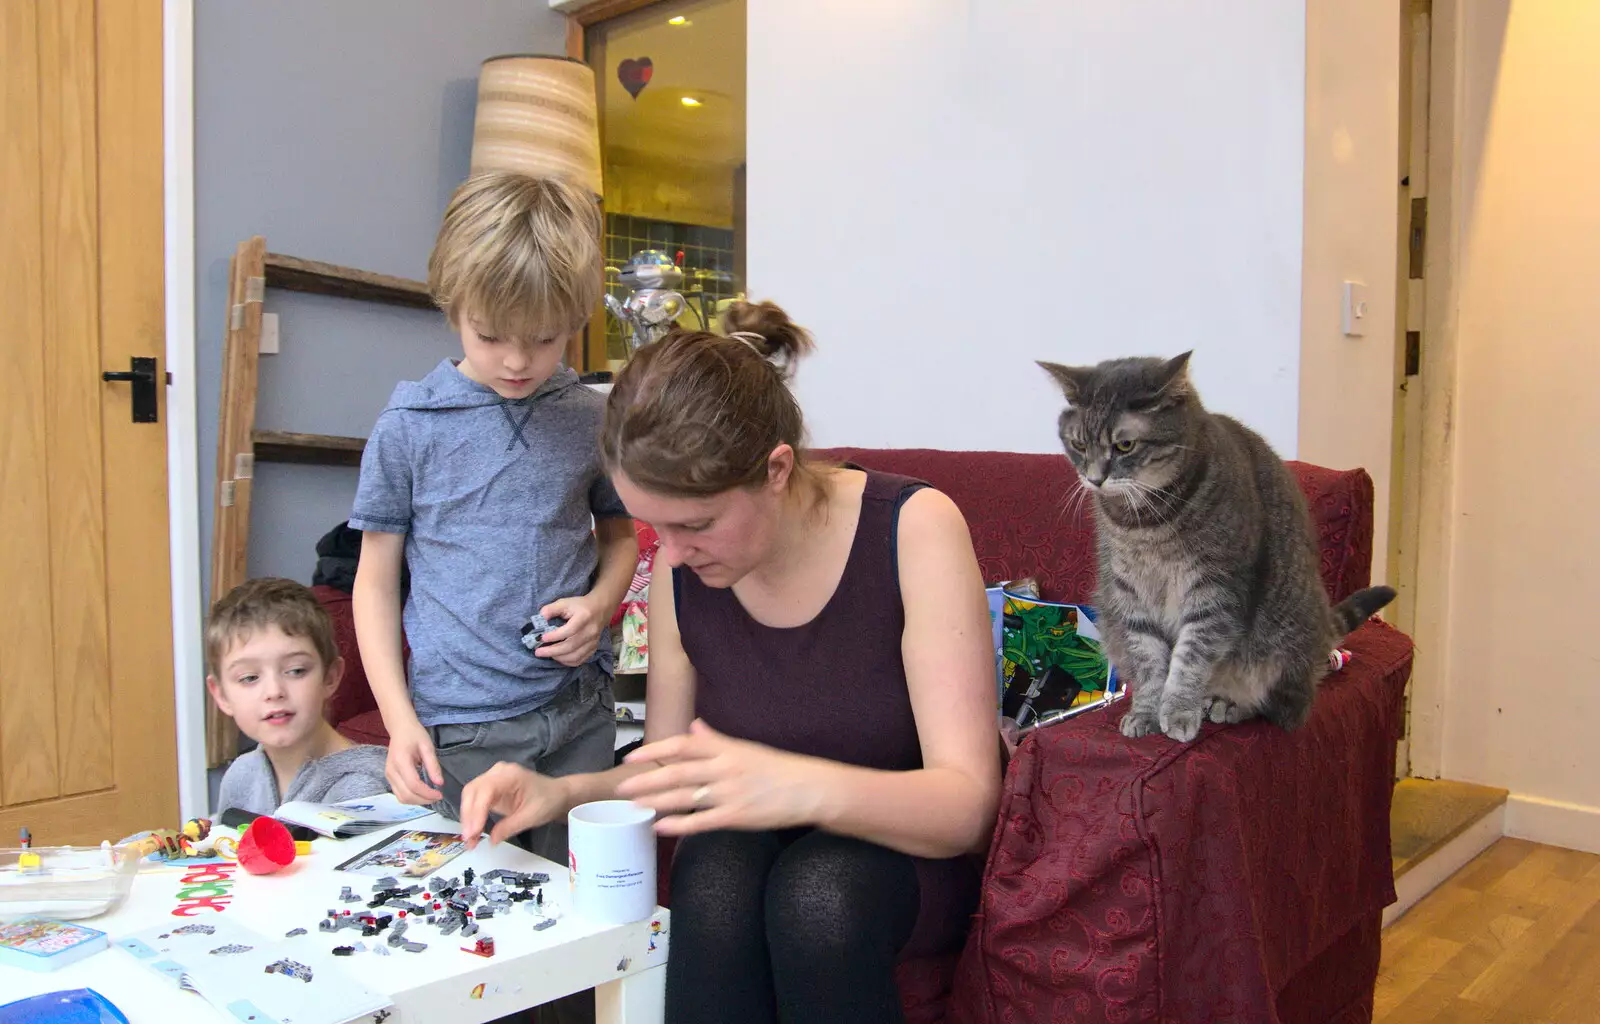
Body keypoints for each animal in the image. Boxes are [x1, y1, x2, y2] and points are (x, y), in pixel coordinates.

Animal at [1043, 355, 1395, 739]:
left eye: (1124, 446)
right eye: (1079, 445)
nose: (1094, 478)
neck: (1143, 523)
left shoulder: (1214, 590)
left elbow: (1190, 657)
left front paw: (1178, 711)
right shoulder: (1129, 592)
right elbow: (1148, 662)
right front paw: (1146, 713)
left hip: (1283, 643)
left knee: (1275, 707)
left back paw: (1227, 704)